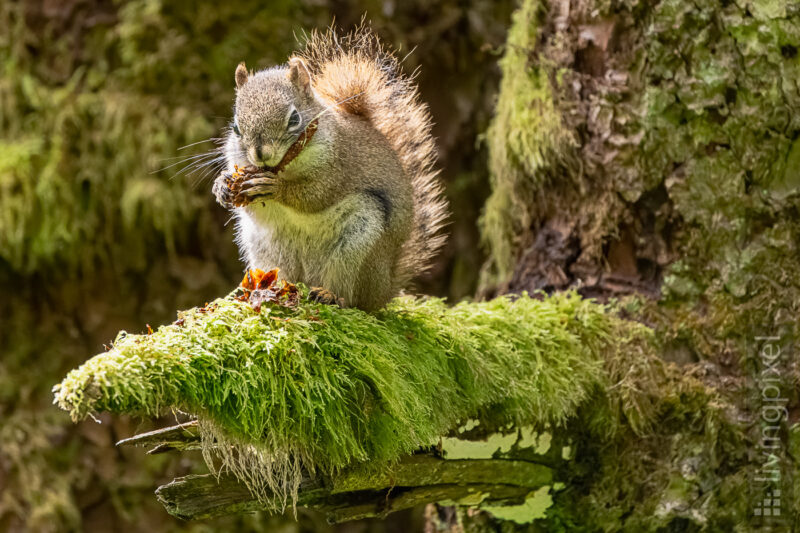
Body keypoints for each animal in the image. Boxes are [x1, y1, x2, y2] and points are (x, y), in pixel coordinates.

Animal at [212, 28, 446, 312]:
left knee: (350, 296)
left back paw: (330, 295)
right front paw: (222, 186)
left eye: (294, 118)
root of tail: (384, 290)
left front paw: (276, 188)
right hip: (268, 248)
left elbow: (316, 195)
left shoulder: (338, 165)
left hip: (359, 244)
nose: (261, 155)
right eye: (235, 127)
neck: (284, 166)